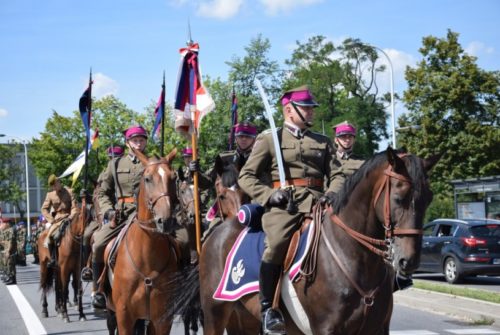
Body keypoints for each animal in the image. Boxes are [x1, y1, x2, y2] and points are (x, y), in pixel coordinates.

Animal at [197, 149, 440, 335]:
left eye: (429, 198)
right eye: (398, 198)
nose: (409, 260)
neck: (353, 256)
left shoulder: (377, 329)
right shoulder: (326, 328)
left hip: (243, 318)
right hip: (215, 313)